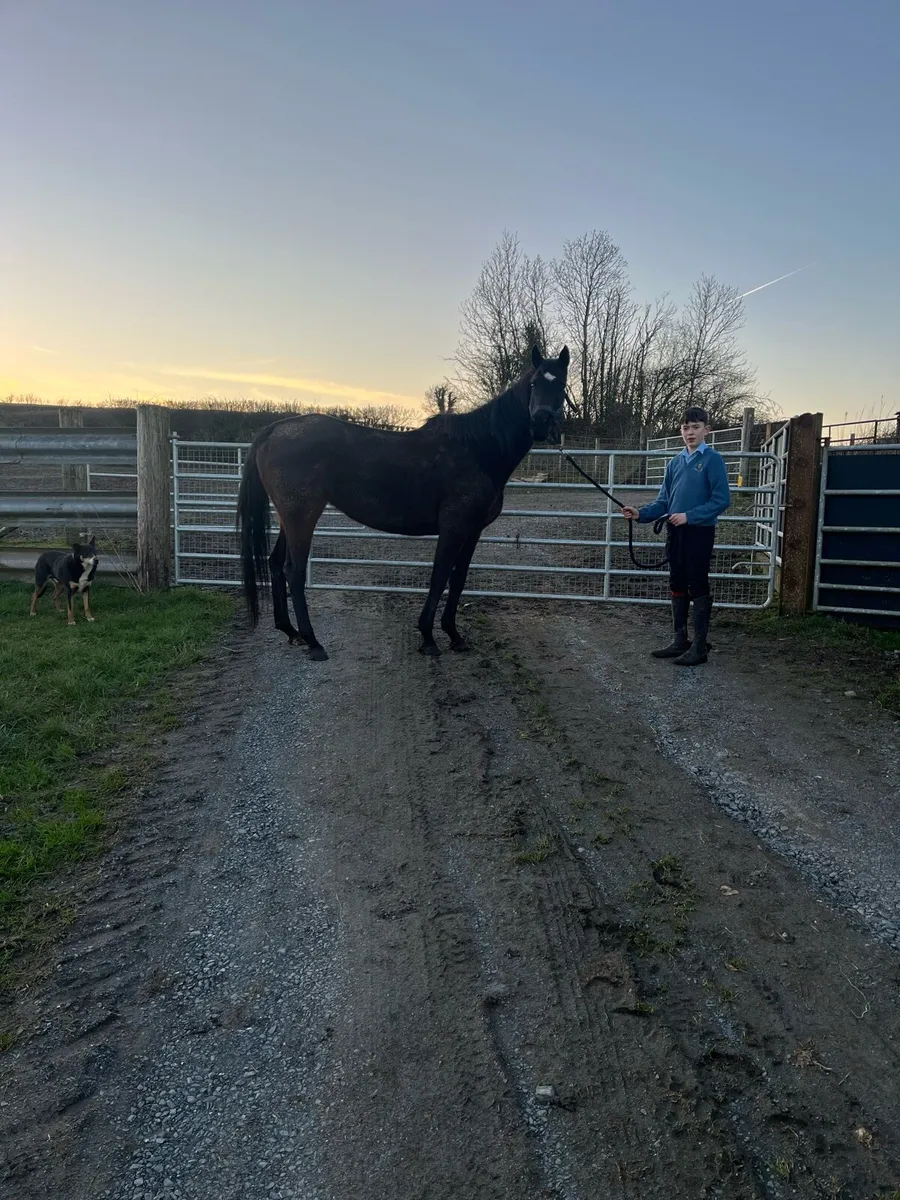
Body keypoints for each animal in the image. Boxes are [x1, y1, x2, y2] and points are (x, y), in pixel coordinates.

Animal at [237, 344, 569, 660]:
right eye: (534, 383)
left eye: (562, 384)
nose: (540, 422)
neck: (478, 449)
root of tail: (274, 430)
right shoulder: (453, 528)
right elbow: (439, 577)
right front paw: (428, 638)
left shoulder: (473, 531)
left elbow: (458, 579)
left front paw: (454, 635)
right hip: (302, 517)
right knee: (293, 573)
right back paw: (314, 642)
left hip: (290, 518)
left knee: (276, 564)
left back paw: (291, 632)